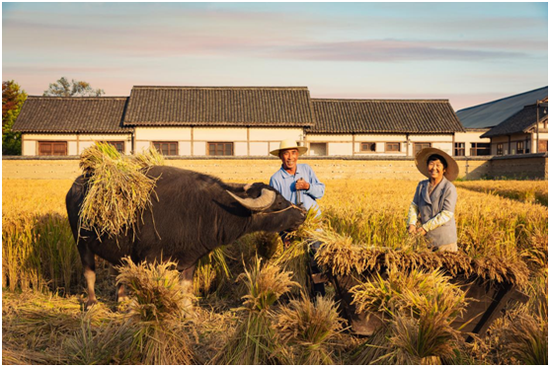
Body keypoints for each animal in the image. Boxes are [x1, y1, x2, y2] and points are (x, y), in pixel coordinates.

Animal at [65, 165, 308, 306]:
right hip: (81, 243)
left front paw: (188, 314)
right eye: (279, 202)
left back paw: (122, 300)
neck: (205, 209)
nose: (302, 213)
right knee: (89, 272)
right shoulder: (150, 259)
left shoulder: (190, 260)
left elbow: (186, 290)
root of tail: (75, 188)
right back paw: (92, 303)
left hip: (118, 250)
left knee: (119, 272)